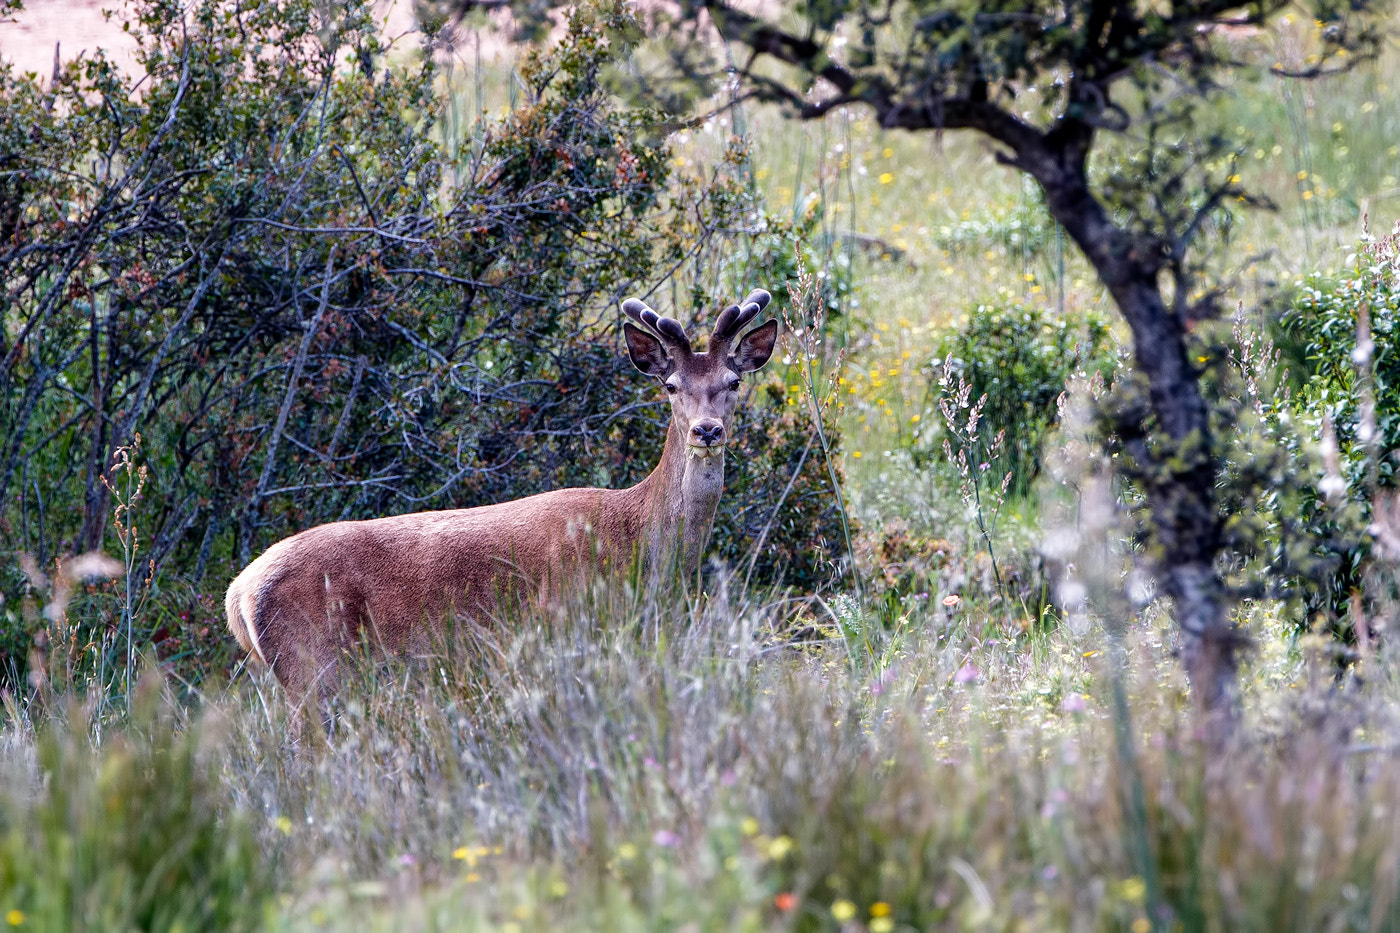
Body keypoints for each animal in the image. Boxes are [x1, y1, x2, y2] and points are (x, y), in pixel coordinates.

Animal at [224, 287, 784, 694]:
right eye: (670, 386)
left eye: (733, 381)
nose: (707, 430)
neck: (638, 542)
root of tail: (238, 593)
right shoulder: (565, 624)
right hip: (311, 666)